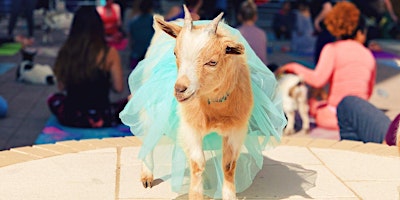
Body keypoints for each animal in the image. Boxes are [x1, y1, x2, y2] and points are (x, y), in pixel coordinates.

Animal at [141, 6, 253, 200]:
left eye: (212, 62)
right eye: (175, 53)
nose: (180, 89)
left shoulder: (236, 129)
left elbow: (228, 165)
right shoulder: (190, 127)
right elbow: (197, 162)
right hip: (149, 106)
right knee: (149, 134)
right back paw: (147, 176)